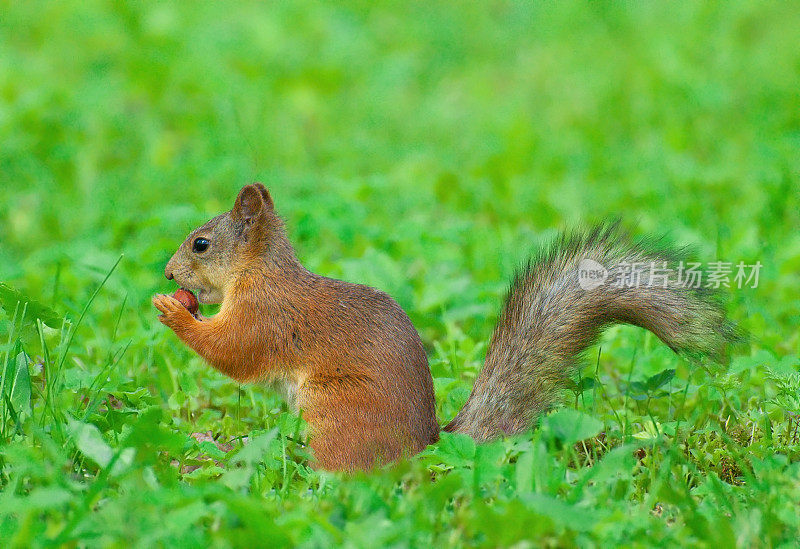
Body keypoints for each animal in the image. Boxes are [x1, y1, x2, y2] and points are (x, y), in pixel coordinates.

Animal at [152, 184, 736, 470]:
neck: (261, 271)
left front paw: (172, 310)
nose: (168, 274)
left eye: (201, 243)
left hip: (340, 416)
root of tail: (425, 445)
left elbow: (234, 351)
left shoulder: (268, 314)